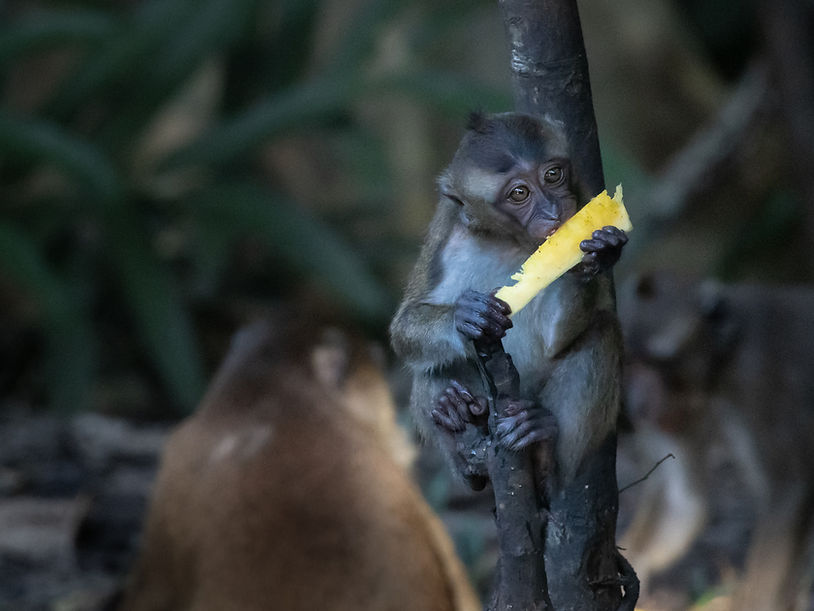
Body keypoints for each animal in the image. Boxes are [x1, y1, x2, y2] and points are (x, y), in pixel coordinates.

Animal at [389, 111, 629, 491]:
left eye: (552, 175)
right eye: (519, 194)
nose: (552, 211)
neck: (509, 239)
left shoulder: (583, 193)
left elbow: (556, 339)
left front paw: (597, 255)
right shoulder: (445, 232)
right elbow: (404, 329)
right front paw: (465, 316)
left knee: (602, 331)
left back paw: (543, 447)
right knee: (431, 369)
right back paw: (457, 423)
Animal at [617, 272, 814, 609]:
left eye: (658, 362)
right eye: (632, 363)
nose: (640, 403)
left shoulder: (757, 379)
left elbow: (788, 487)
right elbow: (682, 503)